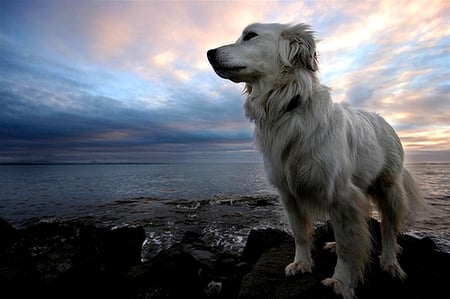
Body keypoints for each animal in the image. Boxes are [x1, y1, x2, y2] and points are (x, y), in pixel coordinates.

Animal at [207, 22, 426, 298]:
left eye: (250, 36)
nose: (209, 53)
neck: (286, 107)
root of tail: (383, 120)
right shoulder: (289, 194)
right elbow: (301, 233)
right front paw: (301, 263)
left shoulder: (342, 195)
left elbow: (348, 247)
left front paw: (341, 282)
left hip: (390, 189)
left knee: (388, 229)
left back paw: (389, 262)